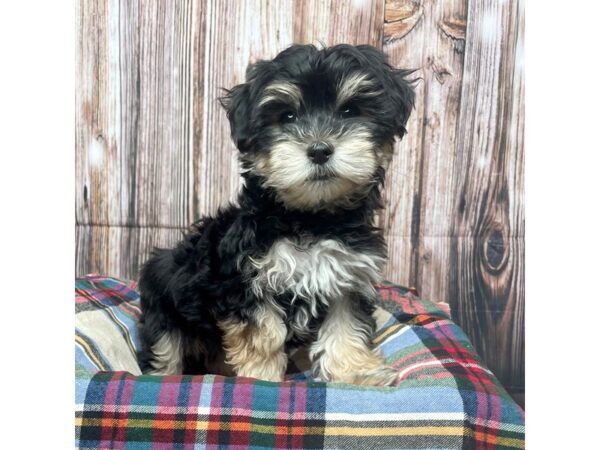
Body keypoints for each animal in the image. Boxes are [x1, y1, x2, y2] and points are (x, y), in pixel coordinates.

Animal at [138, 44, 414, 384]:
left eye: (350, 111)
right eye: (287, 116)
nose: (319, 150)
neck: (311, 219)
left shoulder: (349, 276)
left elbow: (345, 329)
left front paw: (355, 375)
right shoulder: (246, 281)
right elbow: (263, 336)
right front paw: (262, 381)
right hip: (162, 296)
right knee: (166, 348)